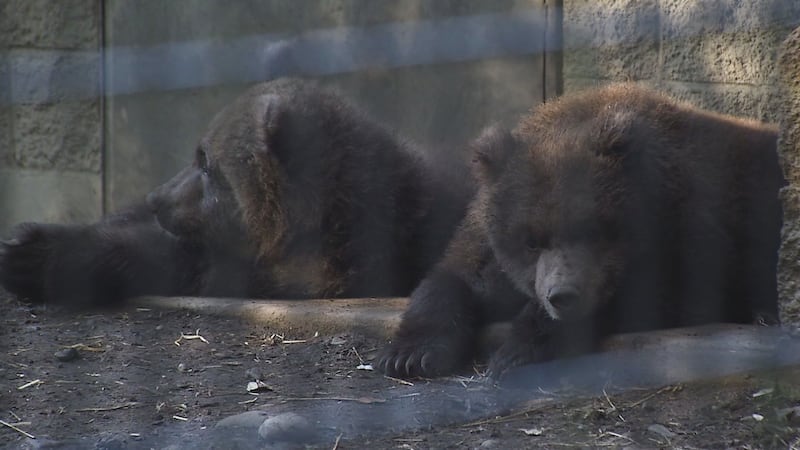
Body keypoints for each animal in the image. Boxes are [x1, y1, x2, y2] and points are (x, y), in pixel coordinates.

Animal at [0, 78, 470, 308]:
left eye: (206, 161)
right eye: (198, 152)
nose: (157, 198)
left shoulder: (328, 268)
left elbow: (178, 261)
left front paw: (34, 255)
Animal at [378, 83, 785, 380]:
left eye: (594, 229)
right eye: (530, 241)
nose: (562, 295)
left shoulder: (687, 233)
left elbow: (656, 295)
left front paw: (515, 351)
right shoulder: (485, 235)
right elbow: (452, 278)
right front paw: (409, 354)